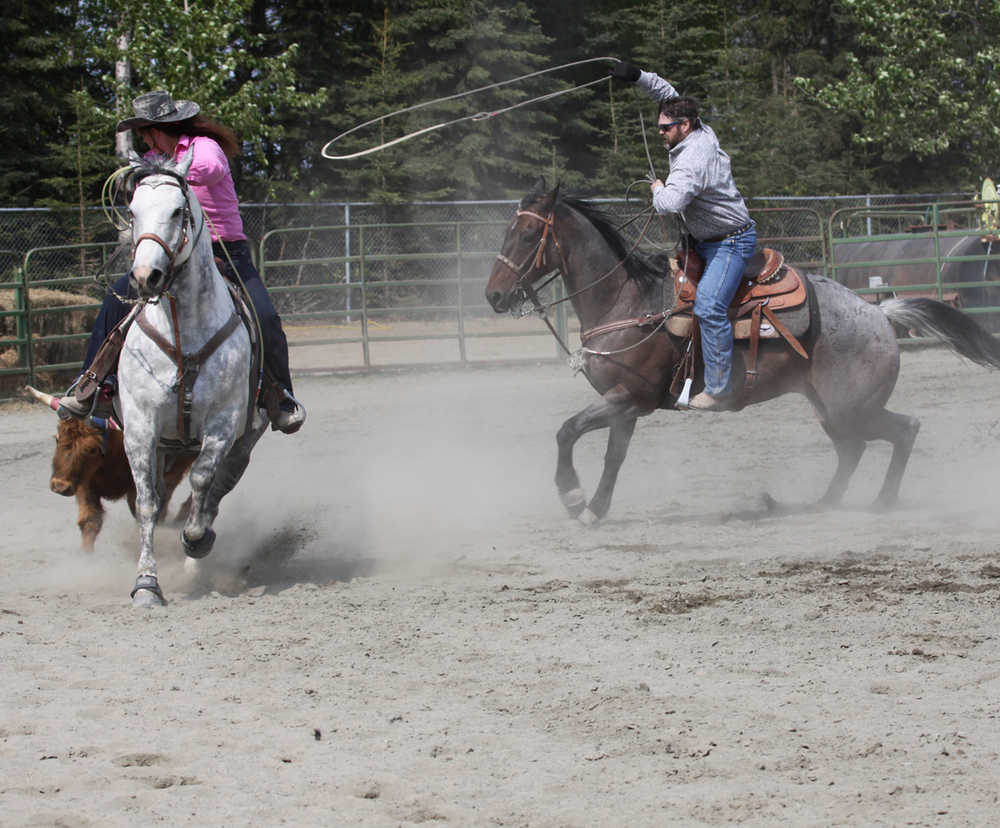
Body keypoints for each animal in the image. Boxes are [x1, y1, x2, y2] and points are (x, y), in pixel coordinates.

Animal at [117, 152, 268, 604]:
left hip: (246, 438)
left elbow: (204, 480)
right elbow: (147, 502)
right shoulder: (140, 427)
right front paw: (146, 583)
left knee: (217, 488)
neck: (183, 330)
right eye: (133, 212)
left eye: (177, 211)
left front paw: (196, 539)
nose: (145, 276)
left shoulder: (223, 423)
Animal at [486, 180, 1000, 524]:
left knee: (903, 430)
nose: (493, 296)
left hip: (852, 407)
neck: (627, 299)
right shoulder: (626, 405)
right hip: (831, 410)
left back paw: (881, 503)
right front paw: (595, 508)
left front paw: (572, 496)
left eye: (528, 236)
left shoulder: (627, 398)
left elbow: (567, 431)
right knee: (853, 449)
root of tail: (879, 313)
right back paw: (822, 504)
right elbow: (613, 457)